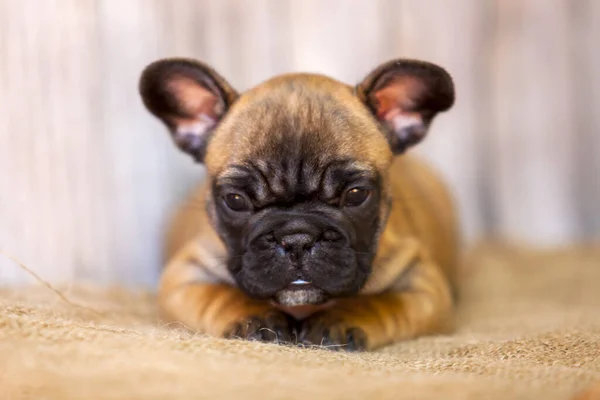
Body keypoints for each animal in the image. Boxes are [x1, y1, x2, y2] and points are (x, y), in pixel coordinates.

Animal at [141, 57, 460, 350]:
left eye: (356, 194)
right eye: (235, 200)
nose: (297, 238)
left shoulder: (423, 281)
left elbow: (382, 301)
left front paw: (339, 320)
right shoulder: (183, 275)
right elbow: (219, 295)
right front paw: (256, 317)